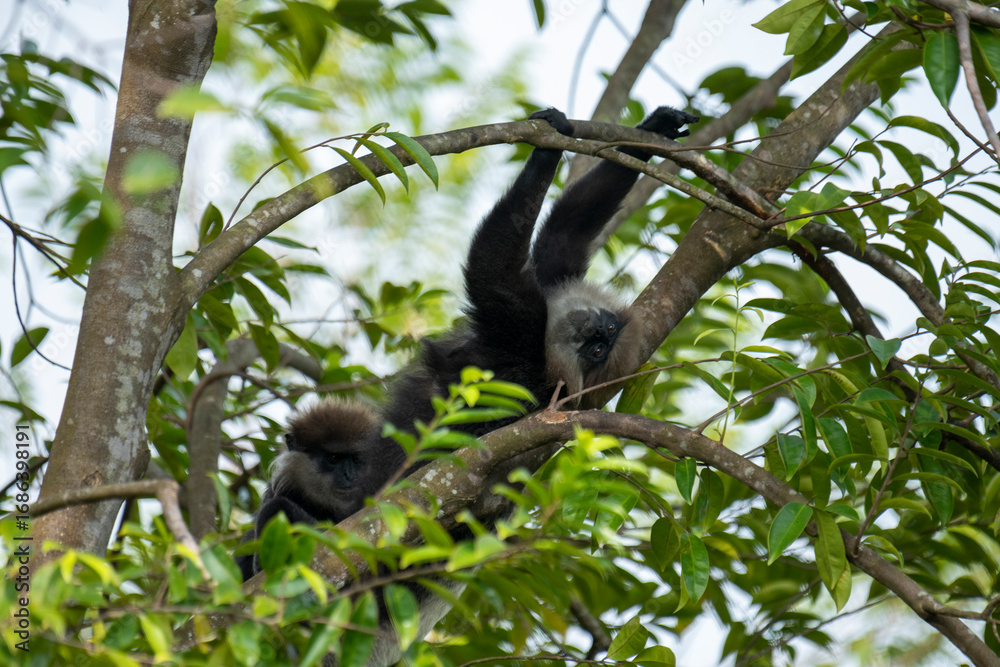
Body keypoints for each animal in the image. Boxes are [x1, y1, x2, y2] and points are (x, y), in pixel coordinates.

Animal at [235, 105, 698, 662]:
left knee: (287, 513)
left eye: (598, 352)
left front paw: (543, 153)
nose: (600, 332)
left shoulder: (518, 345)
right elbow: (562, 236)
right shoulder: (549, 293)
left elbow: (492, 269)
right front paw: (644, 133)